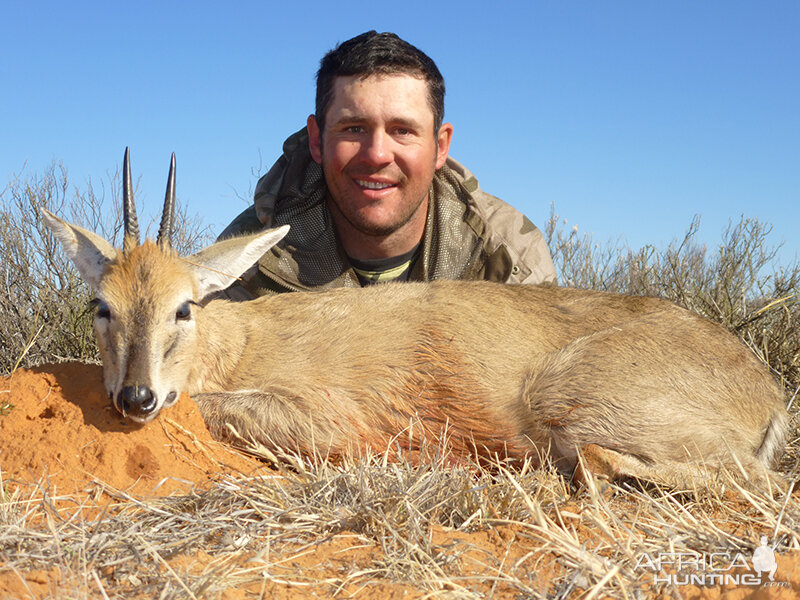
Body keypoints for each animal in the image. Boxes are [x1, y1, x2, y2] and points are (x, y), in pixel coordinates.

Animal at [42, 150, 788, 488]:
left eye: (184, 306)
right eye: (102, 305)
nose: (135, 397)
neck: (241, 341)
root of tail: (768, 394)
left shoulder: (330, 417)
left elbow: (210, 406)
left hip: (570, 405)